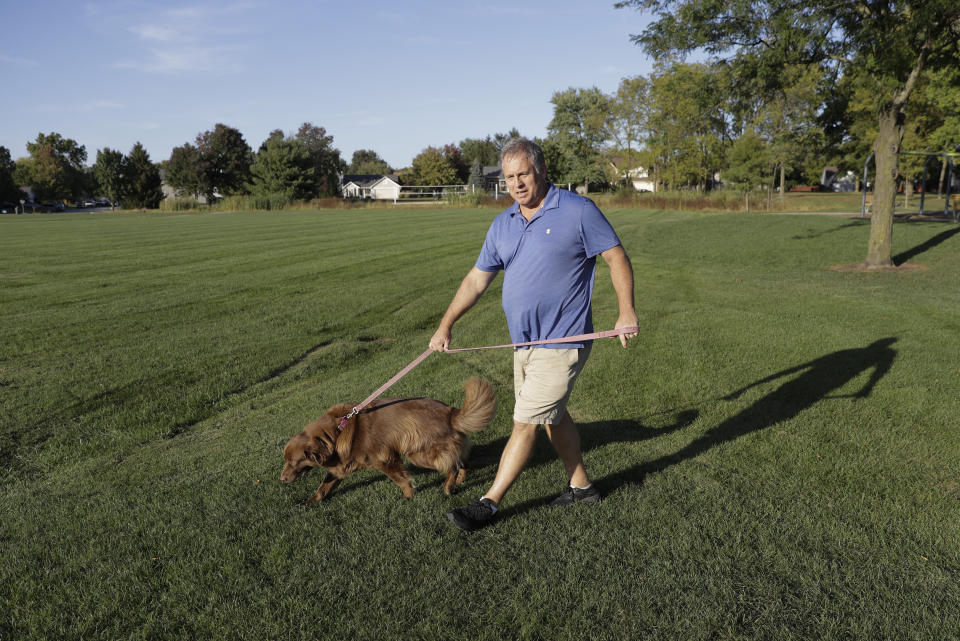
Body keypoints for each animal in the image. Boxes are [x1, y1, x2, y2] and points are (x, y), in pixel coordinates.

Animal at [280, 378, 496, 502]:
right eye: (286, 460)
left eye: (294, 461)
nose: (282, 479)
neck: (337, 430)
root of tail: (451, 413)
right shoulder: (340, 466)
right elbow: (324, 486)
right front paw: (311, 502)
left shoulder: (383, 459)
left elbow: (400, 479)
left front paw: (408, 496)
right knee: (462, 460)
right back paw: (461, 479)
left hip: (419, 454)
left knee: (451, 465)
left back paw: (448, 488)